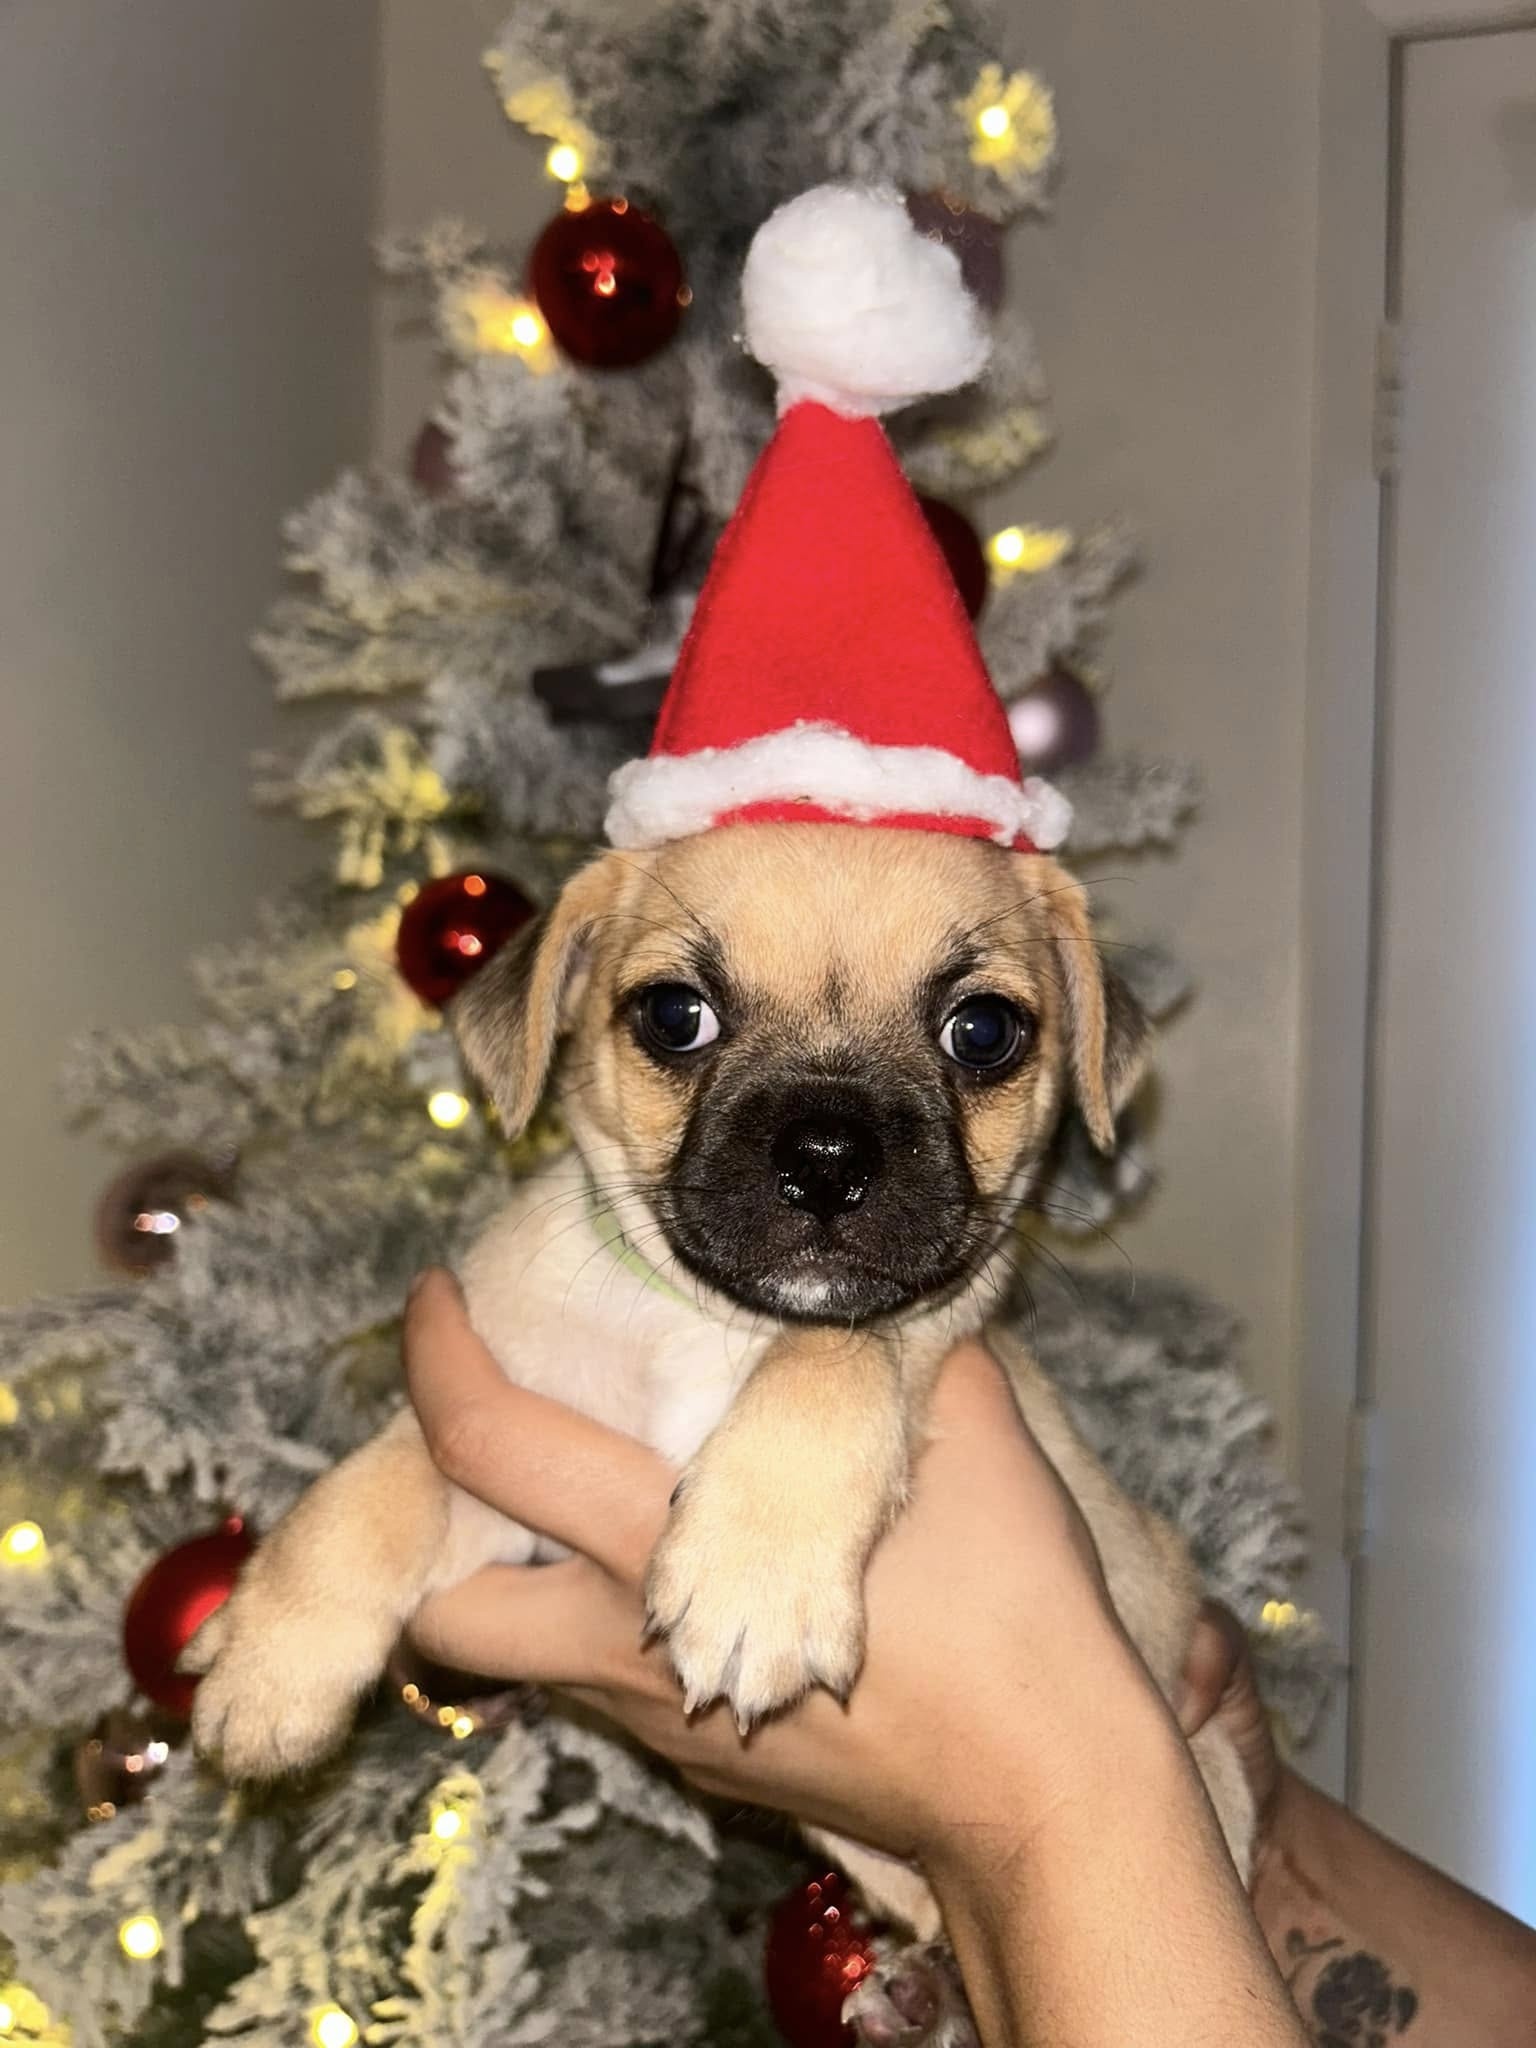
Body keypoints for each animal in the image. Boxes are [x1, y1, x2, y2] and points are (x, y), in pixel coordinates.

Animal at [186, 815, 1253, 1933]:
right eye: (674, 1015)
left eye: (984, 1031)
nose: (827, 1154)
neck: (703, 1321)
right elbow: (381, 1478)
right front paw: (274, 1653)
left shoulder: (927, 1316)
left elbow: (835, 1345)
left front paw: (756, 1570)